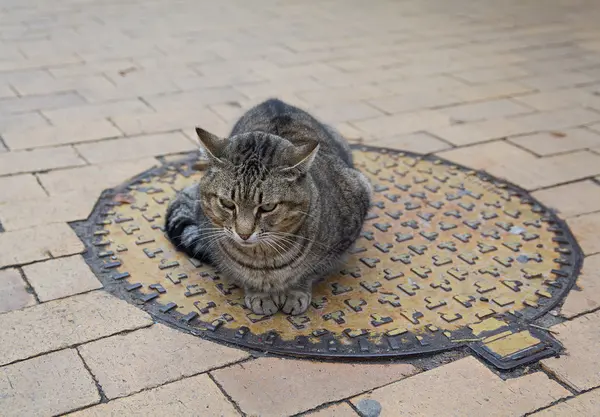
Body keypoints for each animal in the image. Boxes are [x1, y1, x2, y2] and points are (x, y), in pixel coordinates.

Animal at [164, 99, 370, 314]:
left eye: (268, 207)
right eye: (227, 203)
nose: (244, 234)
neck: (264, 259)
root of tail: (274, 101)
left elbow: (309, 272)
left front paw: (295, 292)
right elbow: (241, 274)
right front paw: (260, 294)